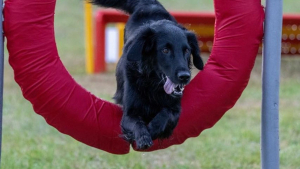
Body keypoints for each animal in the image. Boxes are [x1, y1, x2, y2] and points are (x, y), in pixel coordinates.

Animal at [89, 0, 204, 149]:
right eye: (165, 50)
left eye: (186, 50)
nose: (184, 76)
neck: (153, 85)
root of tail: (149, 5)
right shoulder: (129, 113)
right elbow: (137, 122)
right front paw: (143, 137)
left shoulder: (175, 108)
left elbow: (166, 114)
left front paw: (153, 130)